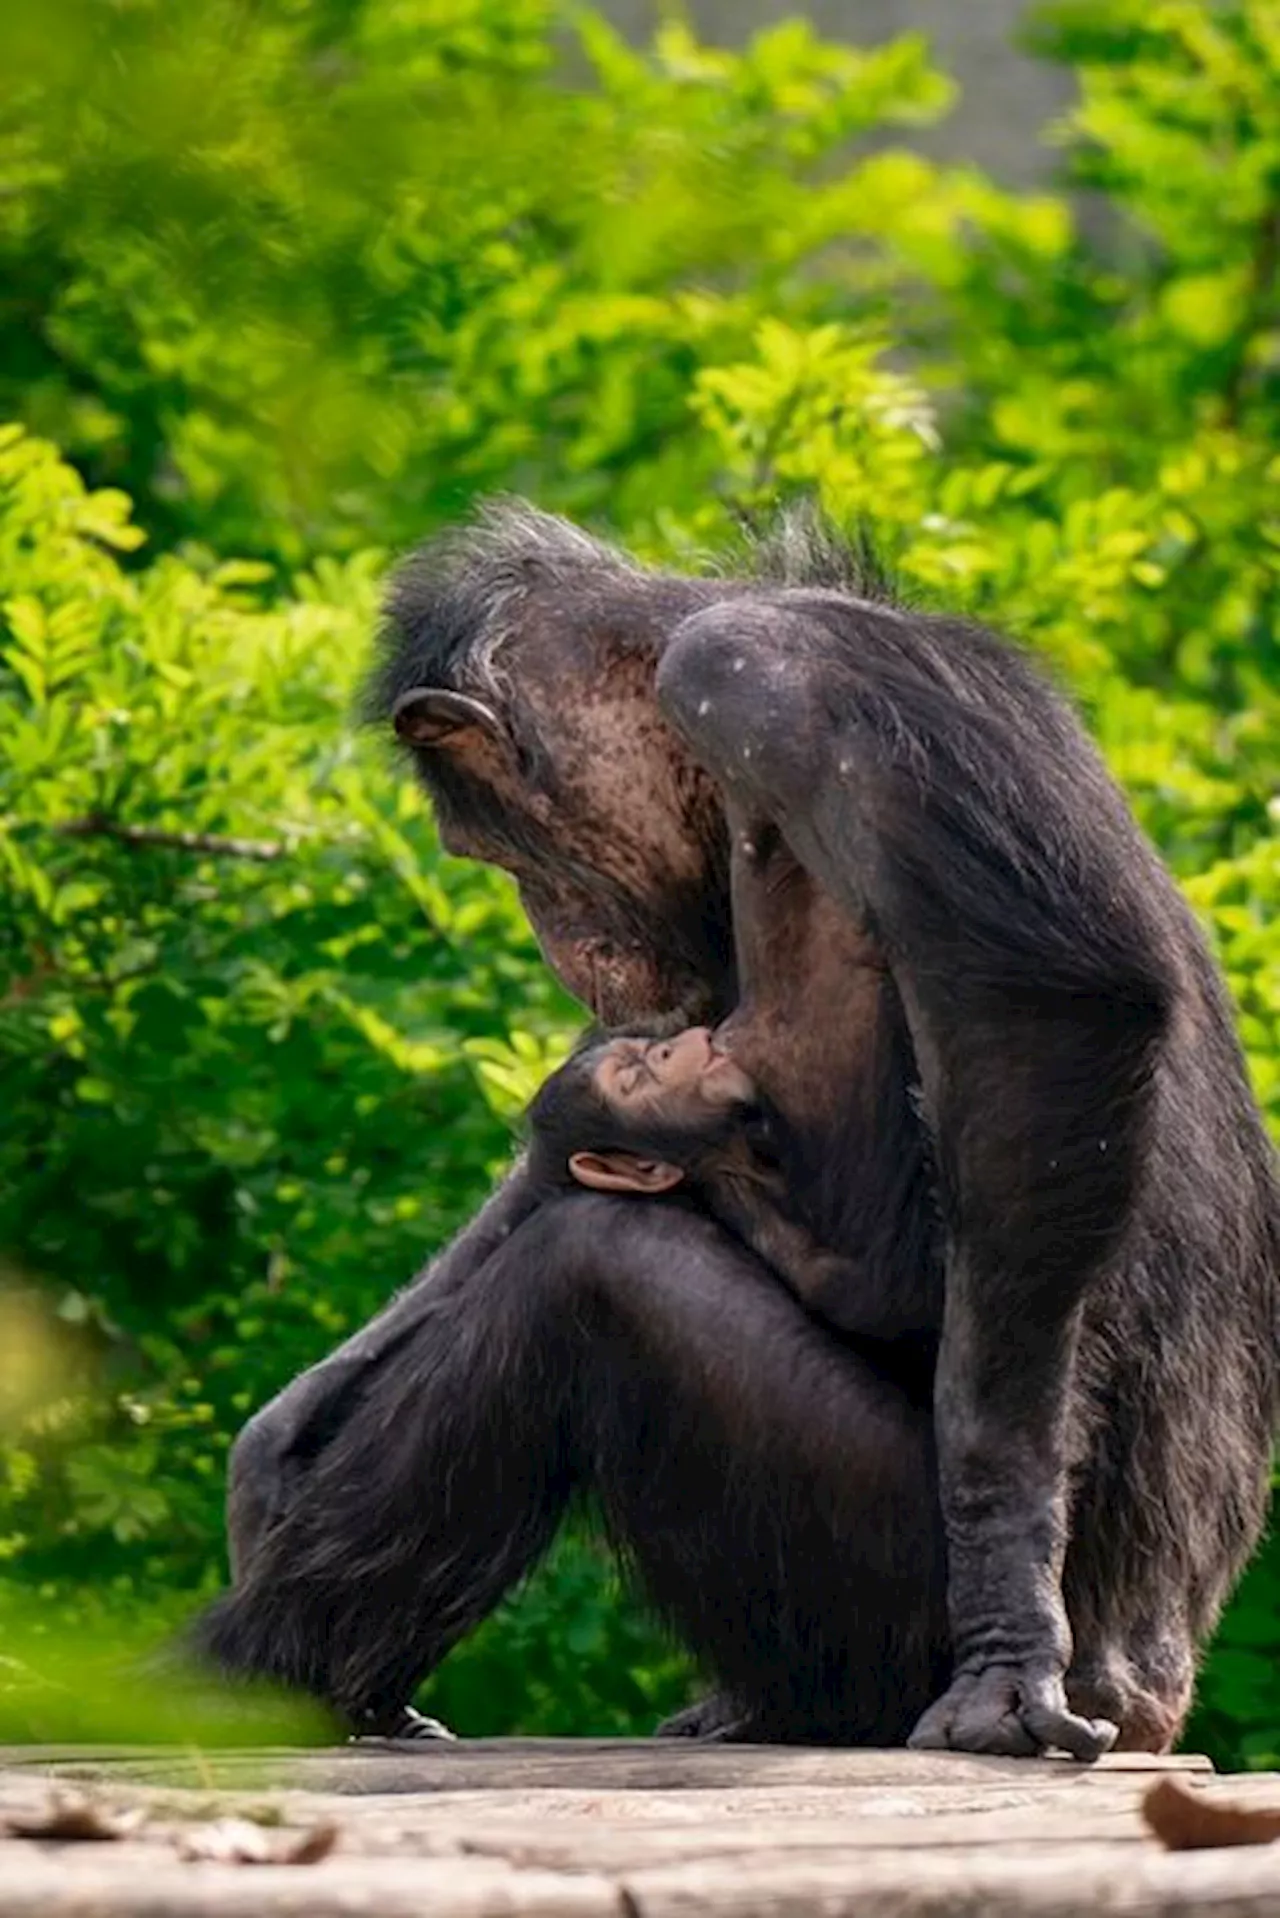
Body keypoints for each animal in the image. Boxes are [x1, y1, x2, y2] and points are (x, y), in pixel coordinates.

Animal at [192, 506, 1280, 1756]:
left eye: (497, 851)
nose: (552, 932)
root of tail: (1156, 1694)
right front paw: (284, 1436)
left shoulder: (771, 683)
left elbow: (1039, 1019)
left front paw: (1006, 1622)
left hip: (873, 1596)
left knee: (591, 1275)